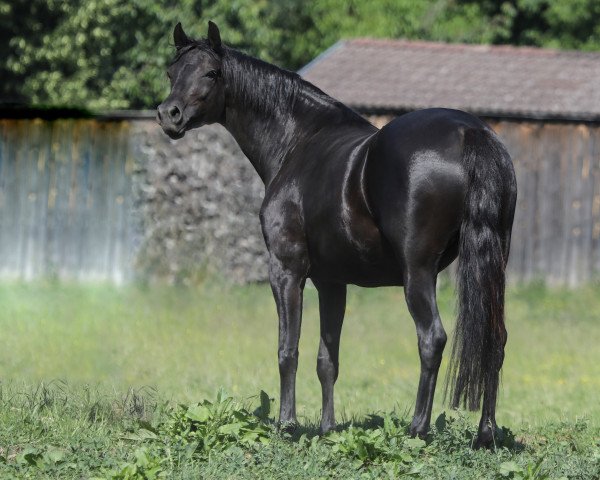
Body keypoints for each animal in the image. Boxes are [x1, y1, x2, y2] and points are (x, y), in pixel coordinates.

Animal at [158, 22, 516, 448]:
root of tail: (469, 133)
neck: (298, 141)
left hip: (418, 273)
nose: (169, 115)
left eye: (211, 73)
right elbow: (327, 359)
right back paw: (486, 434)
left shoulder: (286, 270)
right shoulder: (332, 282)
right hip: (493, 265)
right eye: (171, 72)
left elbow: (288, 350)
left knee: (432, 338)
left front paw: (287, 426)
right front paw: (327, 430)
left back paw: (417, 430)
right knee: (494, 341)